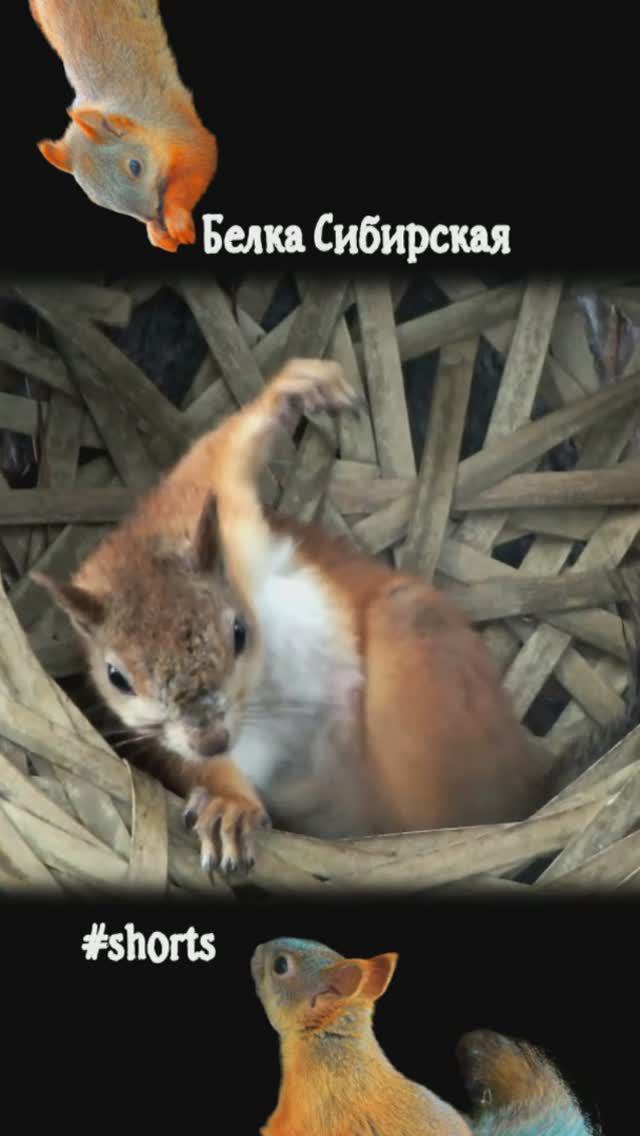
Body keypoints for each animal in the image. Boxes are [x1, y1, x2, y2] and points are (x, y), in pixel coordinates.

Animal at [29, 0, 218, 252]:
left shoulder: (178, 126)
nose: (151, 216)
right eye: (97, 200)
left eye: (135, 167)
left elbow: (198, 163)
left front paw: (175, 218)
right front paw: (157, 232)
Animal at [32, 358, 574, 876]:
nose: (210, 738)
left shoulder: (210, 505)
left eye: (238, 632)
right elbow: (206, 770)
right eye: (116, 677)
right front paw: (228, 806)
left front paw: (298, 388)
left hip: (418, 652)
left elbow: (222, 448)